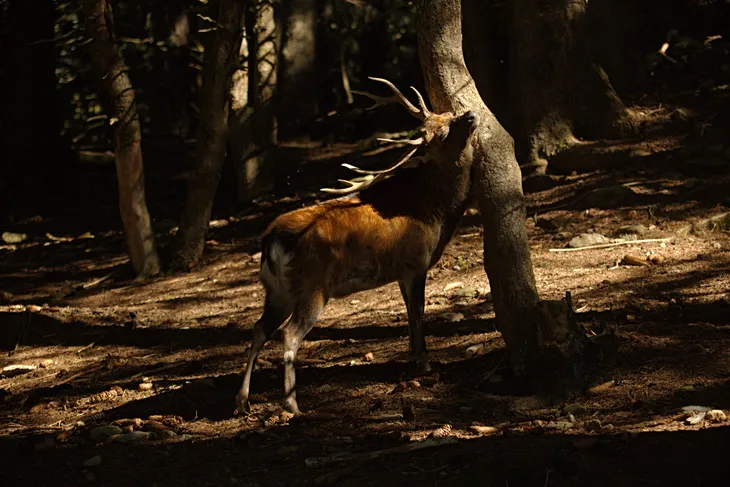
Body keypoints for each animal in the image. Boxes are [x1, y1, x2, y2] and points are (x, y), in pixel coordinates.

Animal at [236, 77, 480, 414]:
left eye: (449, 114)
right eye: (442, 132)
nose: (470, 114)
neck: (435, 211)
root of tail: (271, 239)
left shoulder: (402, 271)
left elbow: (409, 314)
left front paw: (414, 358)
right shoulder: (415, 262)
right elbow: (418, 313)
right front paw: (425, 364)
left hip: (277, 290)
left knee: (259, 328)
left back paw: (243, 401)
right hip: (312, 286)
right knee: (289, 334)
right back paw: (292, 404)